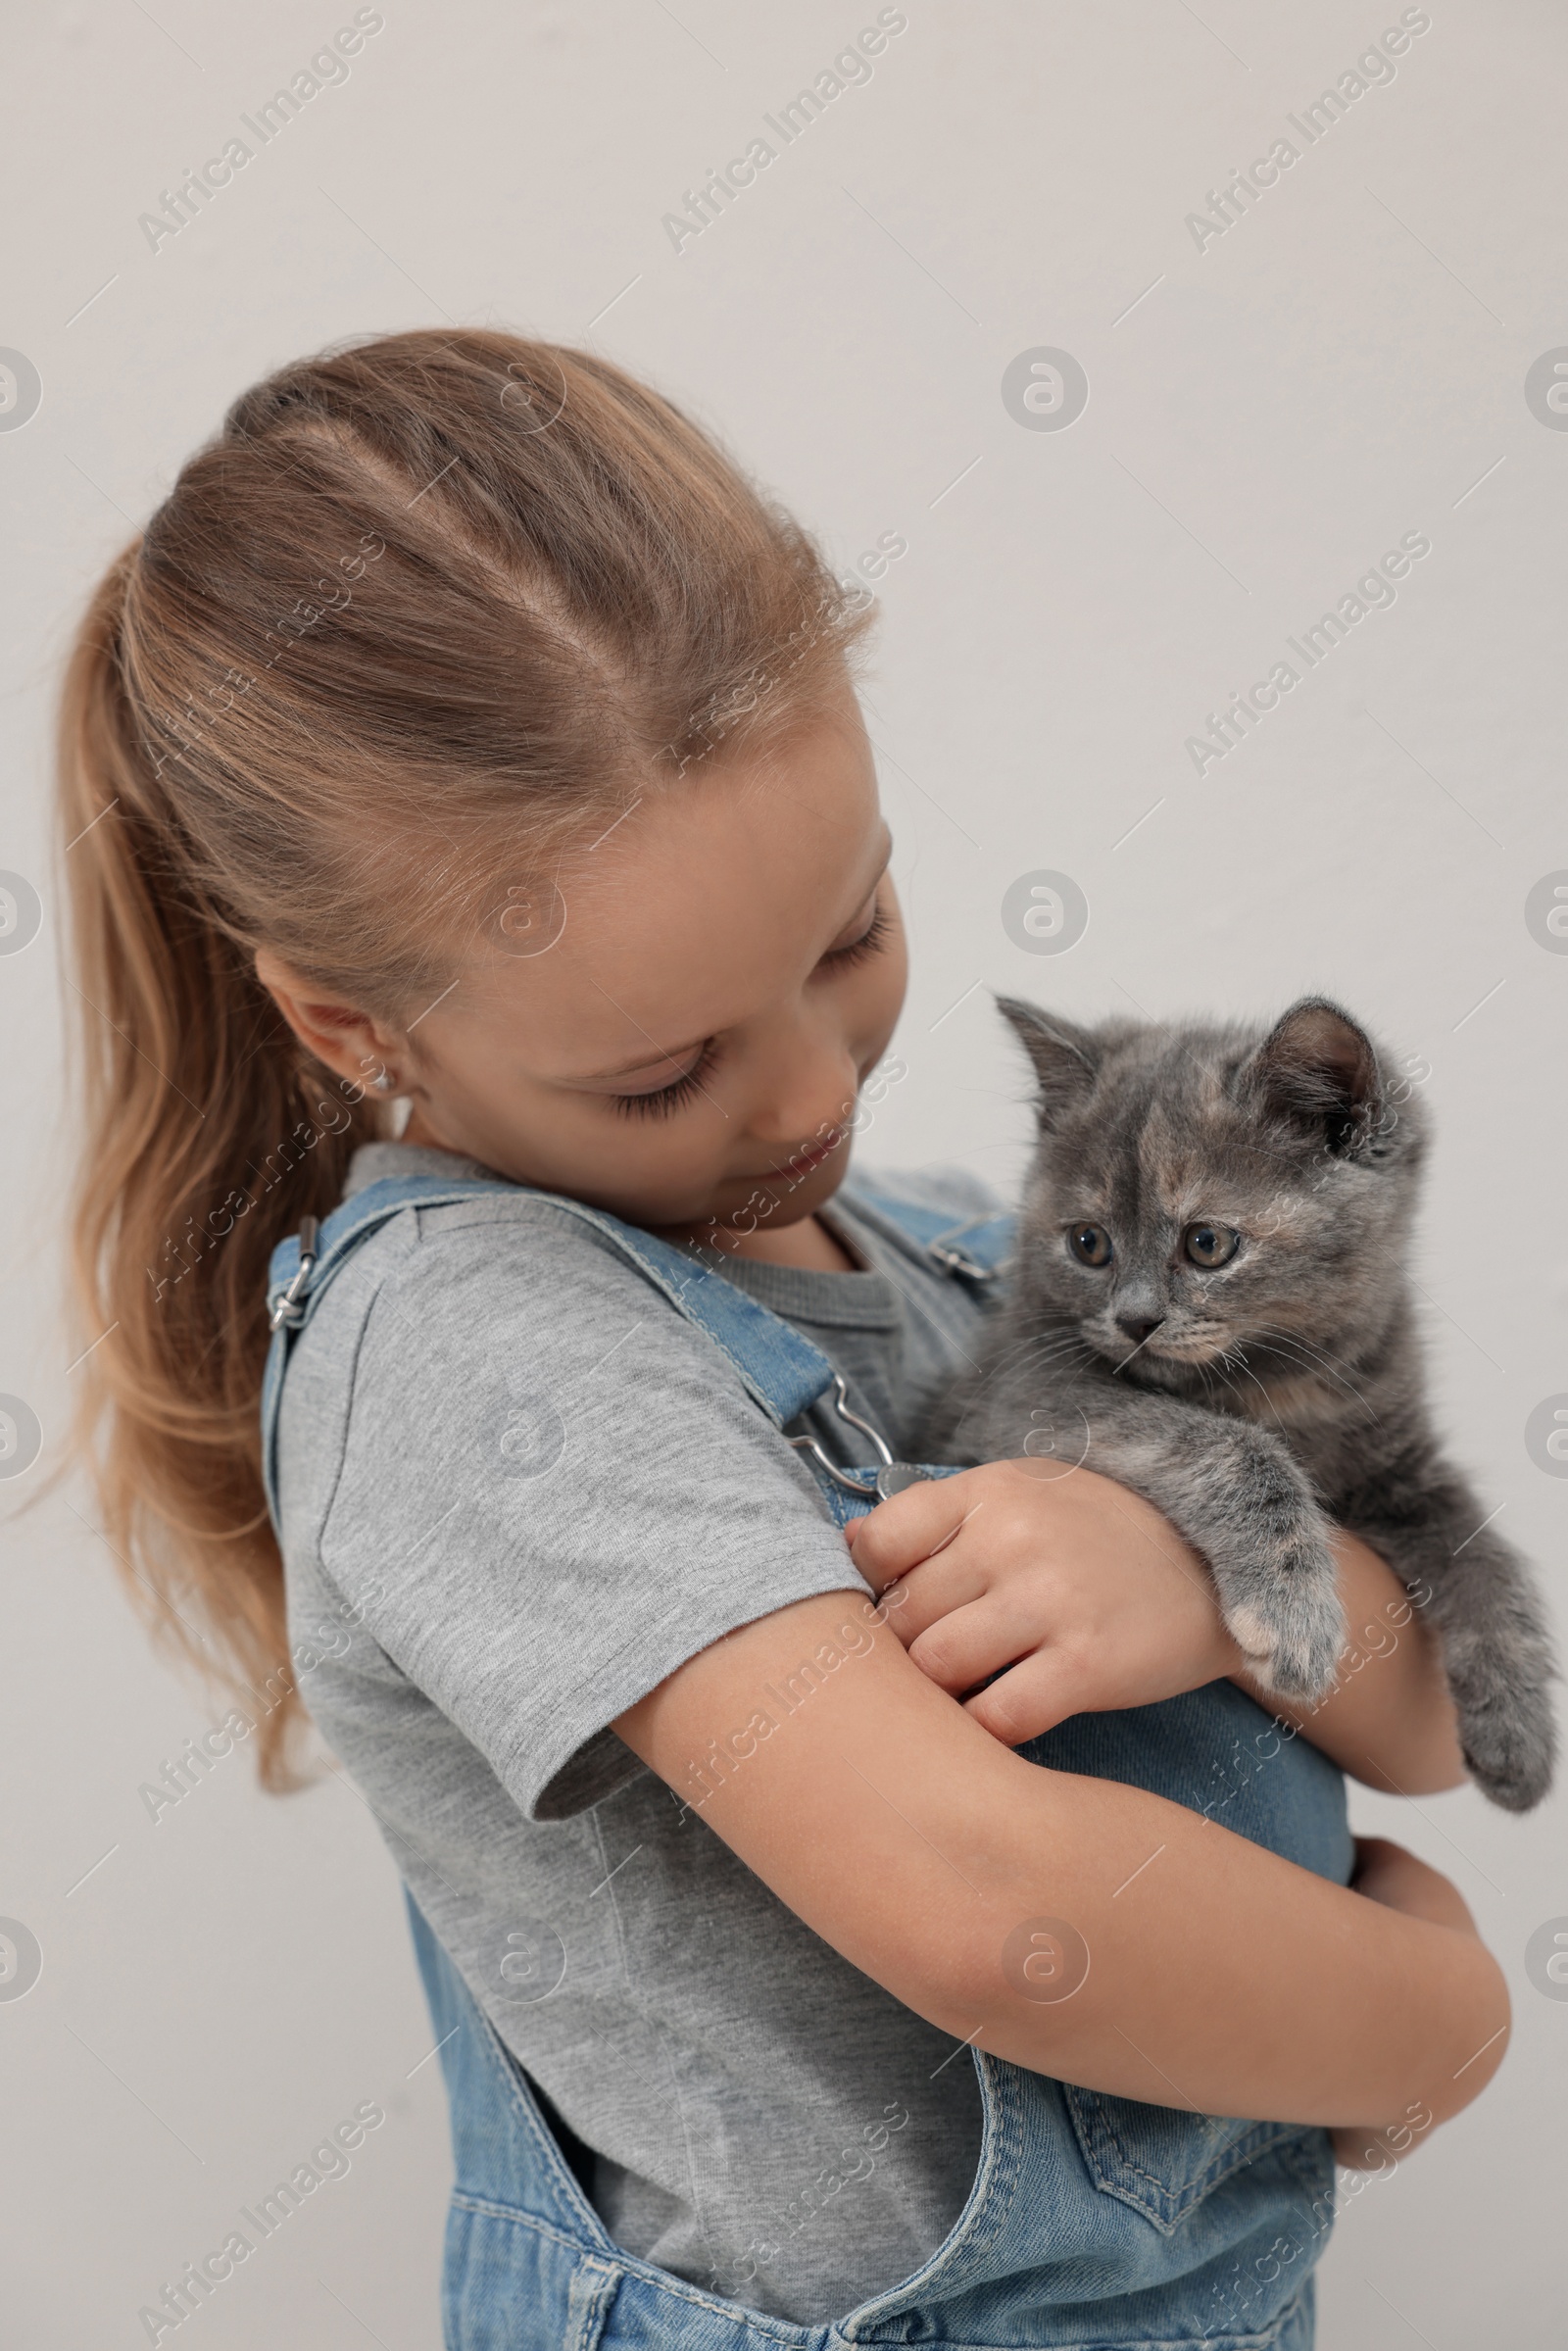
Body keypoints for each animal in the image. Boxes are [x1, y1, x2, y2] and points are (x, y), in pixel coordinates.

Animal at [930, 992, 1560, 1815]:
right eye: (1089, 1244)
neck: (1275, 1378)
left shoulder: (1399, 1456)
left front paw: (1519, 1728)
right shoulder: (1021, 1394)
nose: (1134, 1319)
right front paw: (1292, 1616)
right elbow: (1230, 1443)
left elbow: (1480, 1546)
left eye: (1207, 1243)